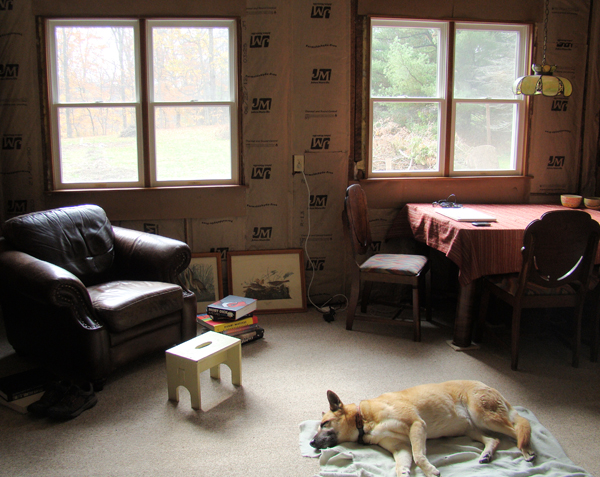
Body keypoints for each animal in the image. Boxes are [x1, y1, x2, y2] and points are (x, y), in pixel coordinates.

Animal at [310, 380, 536, 476]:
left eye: (324, 424)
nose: (311, 442)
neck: (363, 419)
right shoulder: (400, 447)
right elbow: (401, 466)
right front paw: (404, 472)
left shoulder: (417, 425)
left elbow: (419, 456)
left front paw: (430, 471)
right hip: (470, 429)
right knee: (493, 439)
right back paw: (487, 454)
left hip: (484, 416)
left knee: (520, 429)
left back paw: (526, 450)